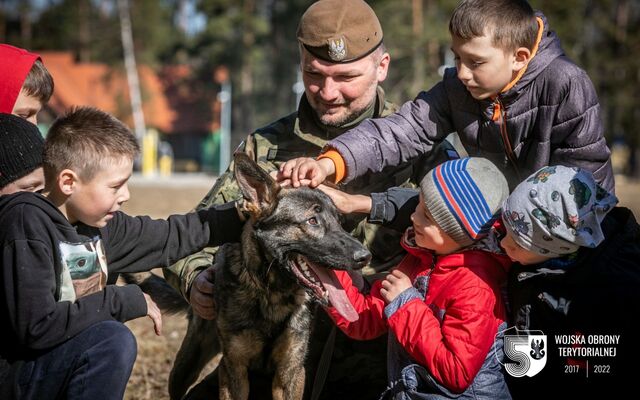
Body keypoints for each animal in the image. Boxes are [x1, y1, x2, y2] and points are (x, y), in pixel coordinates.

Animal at [134, 154, 370, 400]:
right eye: (312, 220)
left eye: (339, 222)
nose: (365, 256)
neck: (272, 294)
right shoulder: (234, 370)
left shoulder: (290, 372)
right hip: (187, 363)